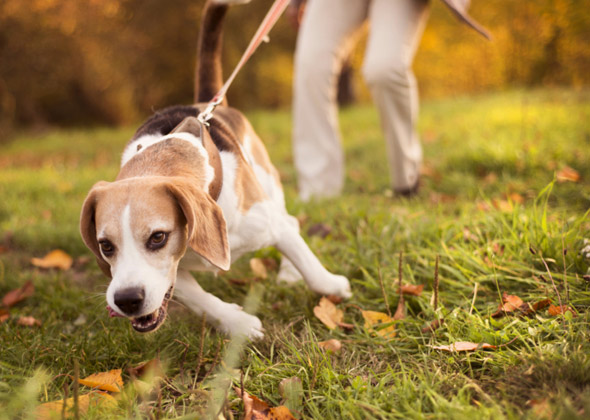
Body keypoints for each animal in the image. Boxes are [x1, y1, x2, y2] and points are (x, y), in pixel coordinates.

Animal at [81, 0, 354, 338]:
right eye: (105, 246)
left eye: (158, 237)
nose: (127, 299)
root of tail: (207, 103)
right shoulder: (173, 273)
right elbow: (200, 300)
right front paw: (238, 324)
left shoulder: (270, 225)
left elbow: (311, 269)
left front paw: (334, 286)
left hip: (268, 187)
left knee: (291, 221)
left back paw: (291, 273)